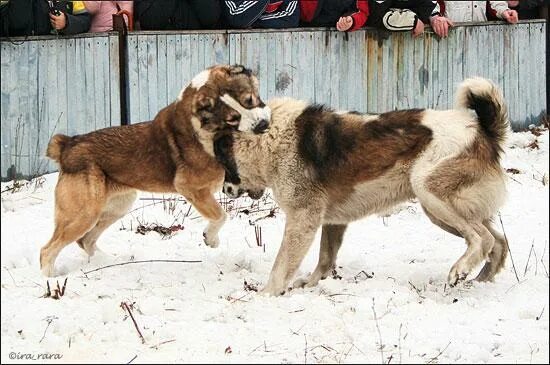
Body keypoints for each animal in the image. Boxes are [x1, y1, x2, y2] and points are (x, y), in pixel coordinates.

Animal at [40, 64, 272, 276]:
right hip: (84, 213)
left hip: (118, 205)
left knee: (85, 240)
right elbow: (221, 215)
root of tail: (67, 145)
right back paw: (51, 280)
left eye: (250, 100)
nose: (263, 125)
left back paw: (106, 262)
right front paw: (211, 238)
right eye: (233, 118)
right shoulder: (191, 188)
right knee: (47, 250)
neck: (206, 128)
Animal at [218, 77, 512, 296]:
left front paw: (266, 295)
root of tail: (483, 130)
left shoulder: (303, 218)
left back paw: (460, 270)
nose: (224, 191)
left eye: (223, 161)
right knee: (498, 241)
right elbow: (325, 258)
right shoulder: (332, 221)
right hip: (442, 209)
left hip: (431, 194)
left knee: (482, 239)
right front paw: (311, 285)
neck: (270, 136)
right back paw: (480, 281)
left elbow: (282, 264)